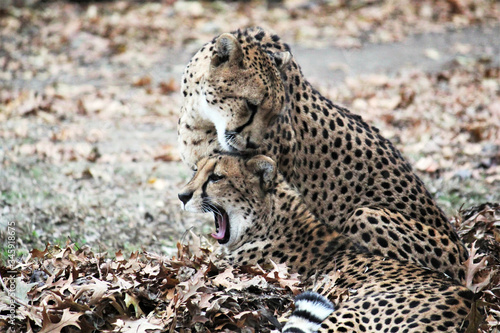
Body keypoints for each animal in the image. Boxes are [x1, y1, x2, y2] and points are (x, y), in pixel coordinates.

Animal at [179, 26, 468, 282]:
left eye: (274, 114)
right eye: (251, 105)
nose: (252, 145)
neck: (202, 116)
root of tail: (465, 255)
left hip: (365, 215)